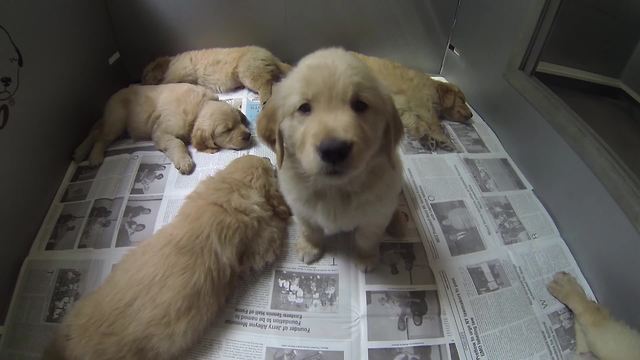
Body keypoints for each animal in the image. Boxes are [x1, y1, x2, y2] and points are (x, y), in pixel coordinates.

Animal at [74, 84, 251, 174]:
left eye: (239, 122)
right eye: (226, 130)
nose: (249, 136)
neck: (198, 108)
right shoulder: (161, 132)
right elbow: (178, 143)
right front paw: (184, 162)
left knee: (95, 132)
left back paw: (80, 152)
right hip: (117, 120)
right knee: (101, 137)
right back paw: (94, 156)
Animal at [141, 46, 292, 104]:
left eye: (146, 74)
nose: (141, 82)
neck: (170, 63)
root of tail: (271, 56)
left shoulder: (179, 72)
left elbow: (166, 82)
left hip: (248, 73)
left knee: (266, 83)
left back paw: (265, 99)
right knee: (273, 81)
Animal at [258, 48, 402, 272]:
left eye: (360, 105)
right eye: (304, 108)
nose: (333, 150)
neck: (335, 190)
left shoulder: (377, 214)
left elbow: (367, 237)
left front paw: (367, 258)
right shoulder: (301, 208)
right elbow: (309, 229)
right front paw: (309, 248)